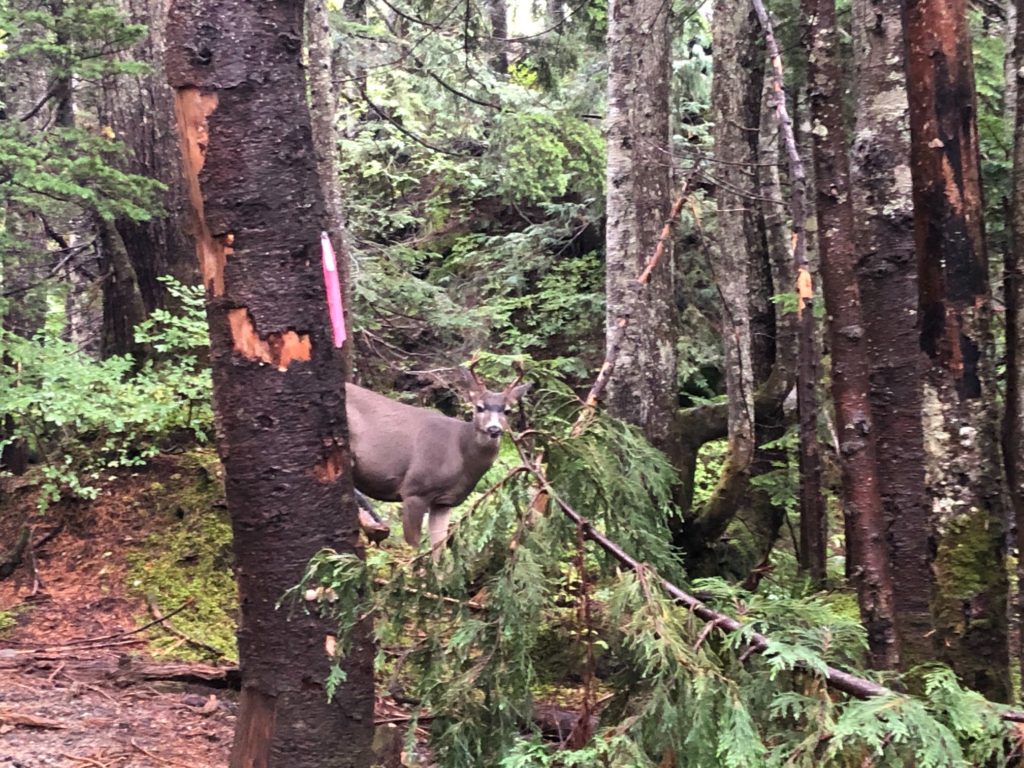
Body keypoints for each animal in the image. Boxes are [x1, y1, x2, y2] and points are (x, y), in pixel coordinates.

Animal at [346, 366, 529, 558]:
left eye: (507, 410)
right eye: (479, 407)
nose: (494, 429)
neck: (461, 451)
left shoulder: (444, 501)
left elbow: (438, 549)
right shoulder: (414, 490)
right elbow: (413, 545)